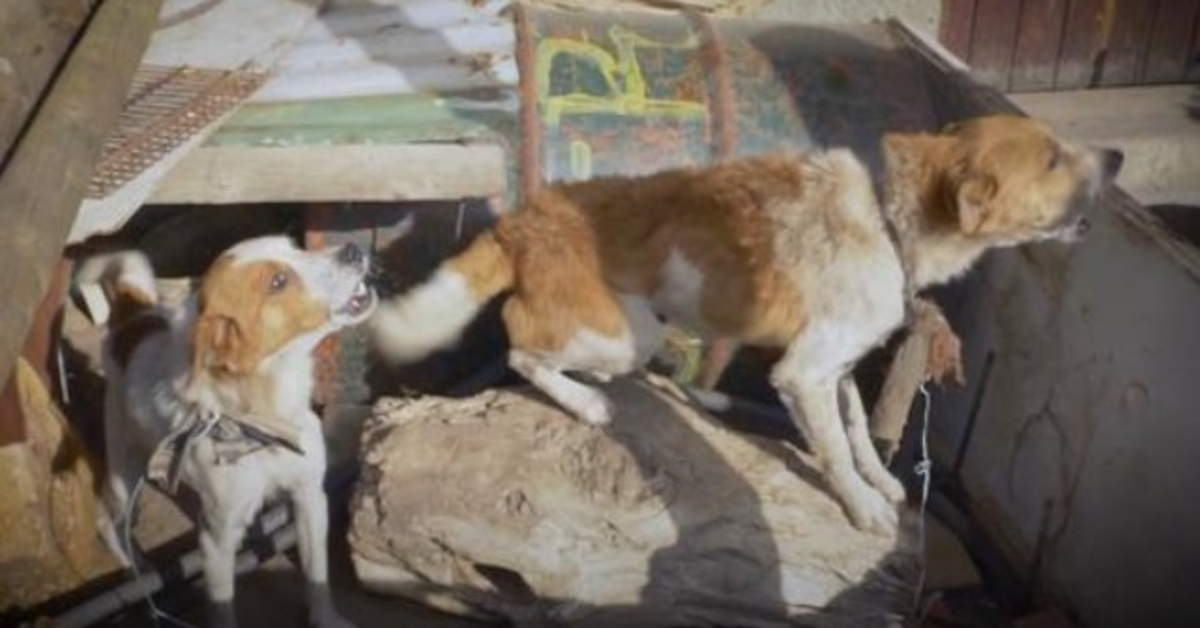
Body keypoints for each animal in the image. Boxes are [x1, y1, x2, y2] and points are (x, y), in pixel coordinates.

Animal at [77, 237, 372, 628]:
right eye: (277, 282)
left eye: (295, 246)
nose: (353, 249)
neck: (264, 420)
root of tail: (133, 321)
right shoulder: (216, 537)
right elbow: (222, 606)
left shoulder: (310, 496)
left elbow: (317, 577)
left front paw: (326, 619)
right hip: (125, 475)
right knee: (110, 525)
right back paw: (137, 574)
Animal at [367, 114, 1123, 535]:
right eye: (1052, 157)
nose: (1116, 157)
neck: (889, 223)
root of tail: (523, 218)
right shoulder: (805, 374)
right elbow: (835, 450)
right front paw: (861, 506)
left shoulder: (837, 369)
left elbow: (858, 431)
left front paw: (879, 483)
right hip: (627, 331)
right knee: (523, 347)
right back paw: (588, 401)